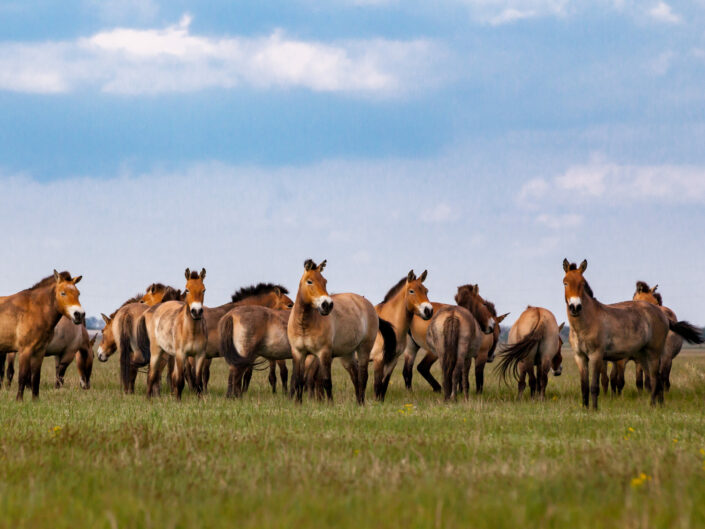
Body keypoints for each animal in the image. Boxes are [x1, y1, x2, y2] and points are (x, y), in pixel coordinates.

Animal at [0, 271, 85, 400]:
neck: (34, 310)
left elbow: (36, 377)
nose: (79, 314)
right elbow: (22, 376)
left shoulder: (39, 351)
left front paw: (35, 400)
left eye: (78, 293)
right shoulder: (25, 350)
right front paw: (19, 400)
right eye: (63, 293)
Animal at [136, 268, 208, 399]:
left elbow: (193, 379)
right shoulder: (178, 354)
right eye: (187, 289)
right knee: (153, 373)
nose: (197, 311)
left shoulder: (199, 355)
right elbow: (177, 378)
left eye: (204, 290)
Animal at [287, 259, 396, 404]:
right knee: (355, 376)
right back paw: (358, 403)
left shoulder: (324, 353)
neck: (304, 325)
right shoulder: (298, 353)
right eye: (309, 281)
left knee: (363, 376)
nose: (327, 305)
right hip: (348, 354)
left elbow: (326, 381)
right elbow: (298, 380)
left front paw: (330, 404)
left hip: (364, 348)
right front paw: (298, 404)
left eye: (325, 281)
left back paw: (362, 403)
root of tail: (368, 304)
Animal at [368, 270, 433, 401]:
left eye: (426, 290)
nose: (428, 311)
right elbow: (377, 385)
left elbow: (384, 384)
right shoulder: (378, 359)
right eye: (411, 291)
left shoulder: (393, 360)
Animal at [562, 259, 702, 409]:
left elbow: (594, 386)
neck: (587, 322)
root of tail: (662, 314)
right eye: (565, 282)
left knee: (654, 378)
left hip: (654, 354)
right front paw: (585, 408)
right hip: (643, 356)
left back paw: (652, 406)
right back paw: (659, 404)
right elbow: (584, 386)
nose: (575, 307)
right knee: (655, 378)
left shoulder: (596, 355)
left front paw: (594, 409)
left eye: (582, 283)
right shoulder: (580, 357)